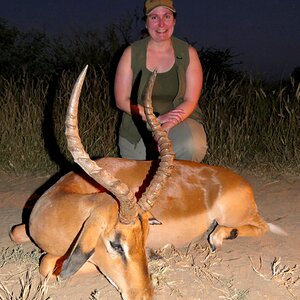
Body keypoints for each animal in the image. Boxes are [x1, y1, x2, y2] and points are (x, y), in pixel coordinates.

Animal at [9, 66, 286, 300]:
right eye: (116, 244)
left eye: (144, 239)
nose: (144, 296)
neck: (59, 204)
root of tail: (240, 182)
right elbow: (16, 233)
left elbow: (49, 264)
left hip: (234, 215)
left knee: (260, 226)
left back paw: (218, 238)